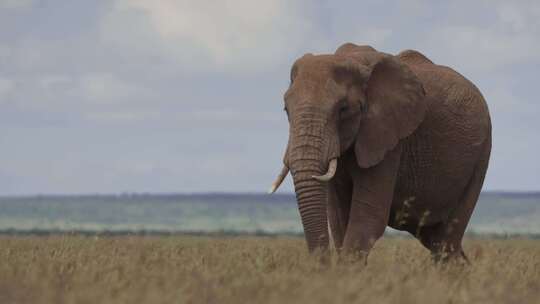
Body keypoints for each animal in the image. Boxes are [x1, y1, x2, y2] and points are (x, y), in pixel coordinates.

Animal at [268, 42, 490, 264]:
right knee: (437, 241)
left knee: (446, 240)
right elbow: (339, 219)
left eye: (343, 109)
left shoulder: (387, 137)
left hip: (480, 157)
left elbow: (367, 217)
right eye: (286, 109)